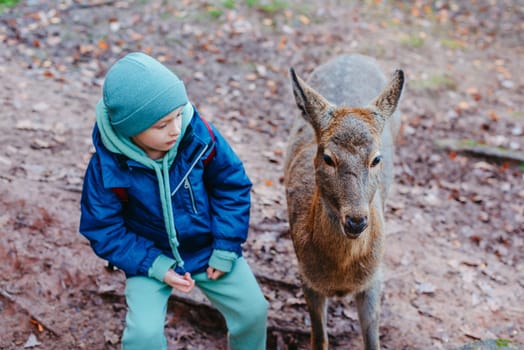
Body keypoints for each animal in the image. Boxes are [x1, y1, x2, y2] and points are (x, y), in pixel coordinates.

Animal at [284, 53, 404, 348]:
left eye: (376, 158)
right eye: (328, 157)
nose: (356, 220)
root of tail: (353, 55)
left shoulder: (374, 280)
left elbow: (373, 341)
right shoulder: (307, 278)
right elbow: (319, 339)